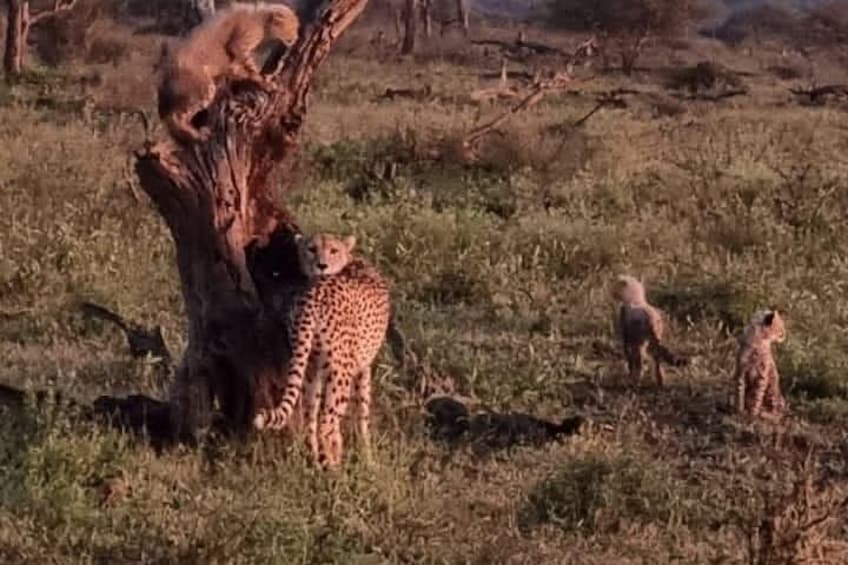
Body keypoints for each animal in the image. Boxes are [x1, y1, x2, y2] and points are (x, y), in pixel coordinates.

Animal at [156, 2, 300, 143]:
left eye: (296, 28)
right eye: (291, 28)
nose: (296, 38)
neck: (261, 18)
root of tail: (166, 68)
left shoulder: (233, 63)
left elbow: (241, 71)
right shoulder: (238, 46)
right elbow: (252, 69)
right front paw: (265, 83)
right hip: (203, 87)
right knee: (175, 117)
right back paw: (197, 135)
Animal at [253, 232, 390, 469]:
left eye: (333, 250)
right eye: (311, 249)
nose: (321, 265)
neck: (349, 259)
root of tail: (314, 295)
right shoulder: (362, 368)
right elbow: (363, 411)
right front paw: (368, 457)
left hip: (310, 367)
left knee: (310, 418)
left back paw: (316, 462)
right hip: (341, 373)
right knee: (327, 423)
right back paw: (335, 467)